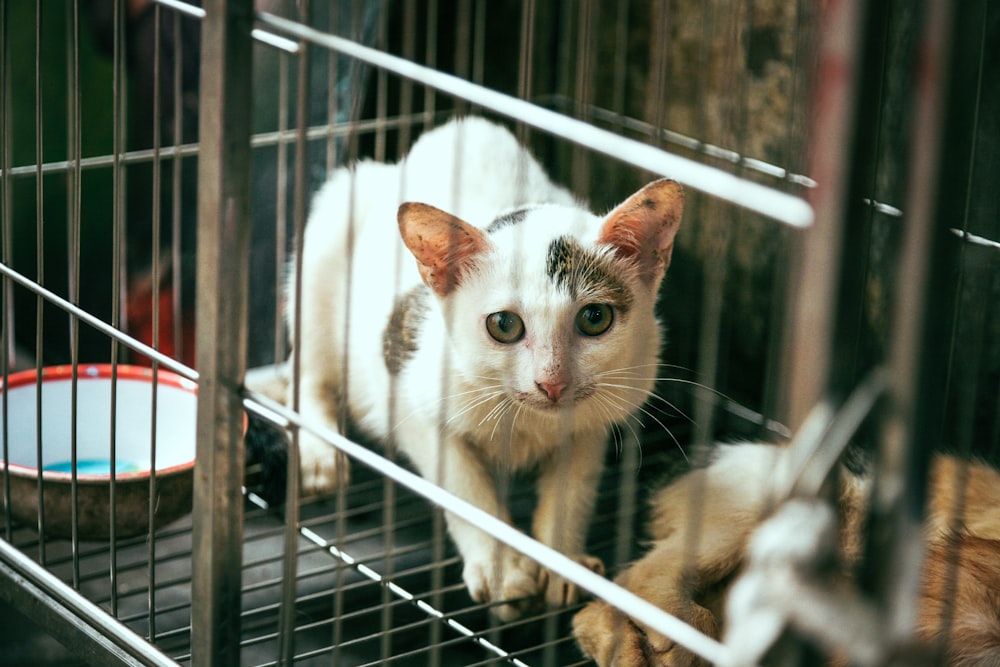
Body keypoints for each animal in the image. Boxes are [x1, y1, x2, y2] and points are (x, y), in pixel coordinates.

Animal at [270, 118, 684, 620]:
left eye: (594, 318)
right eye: (504, 325)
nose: (552, 382)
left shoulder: (597, 415)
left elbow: (574, 486)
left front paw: (562, 562)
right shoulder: (407, 393)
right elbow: (464, 488)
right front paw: (503, 570)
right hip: (324, 240)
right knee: (308, 372)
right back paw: (319, 453)